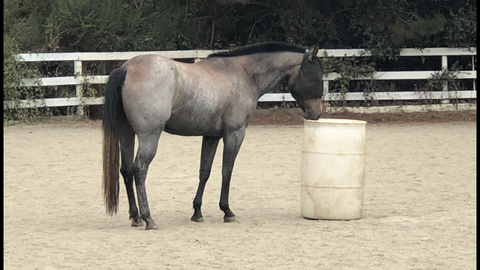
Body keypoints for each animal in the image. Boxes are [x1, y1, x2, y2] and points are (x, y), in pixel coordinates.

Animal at [103, 42, 324, 230]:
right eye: (317, 76)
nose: (316, 113)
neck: (241, 74)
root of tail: (127, 68)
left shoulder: (211, 136)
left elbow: (205, 172)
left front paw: (197, 212)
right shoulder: (235, 134)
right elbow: (227, 171)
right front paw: (227, 211)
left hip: (127, 133)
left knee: (126, 170)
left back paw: (135, 217)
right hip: (149, 136)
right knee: (139, 170)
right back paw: (148, 218)